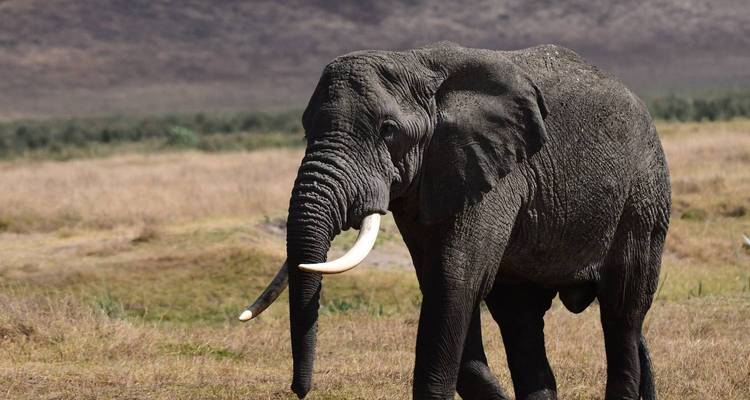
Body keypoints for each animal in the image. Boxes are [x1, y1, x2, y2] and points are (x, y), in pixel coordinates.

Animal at [240, 42, 671, 400]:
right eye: (305, 129)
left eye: (388, 131)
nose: (300, 390)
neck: (416, 64)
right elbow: (442, 283)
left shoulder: (493, 171)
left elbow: (455, 279)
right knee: (522, 320)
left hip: (643, 196)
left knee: (621, 312)